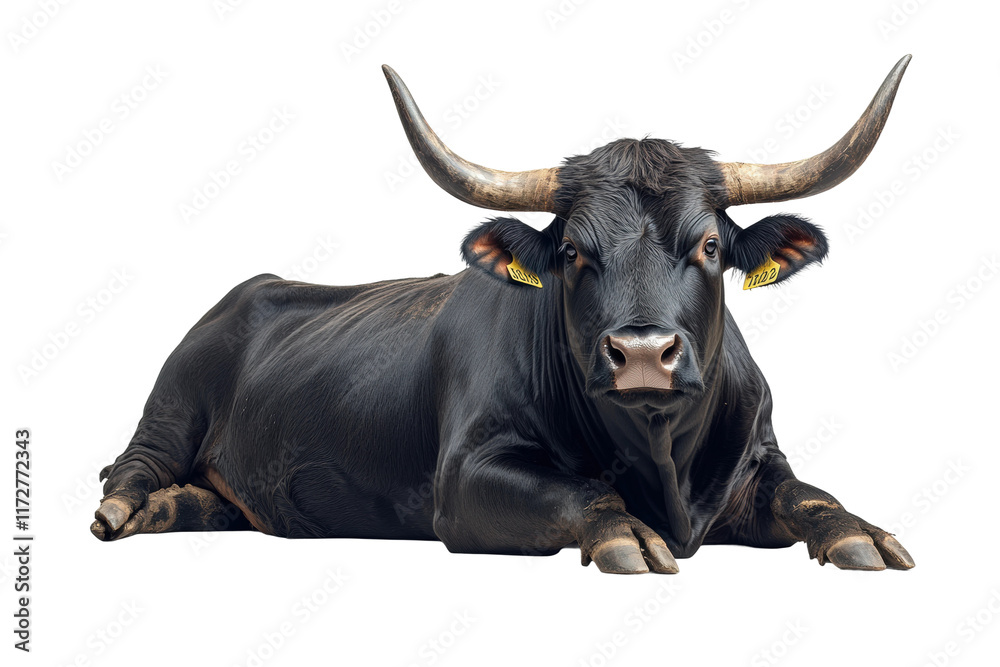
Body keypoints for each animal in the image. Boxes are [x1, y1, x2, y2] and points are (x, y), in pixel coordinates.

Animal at [92, 56, 915, 574]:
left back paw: (174, 508)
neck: (661, 459)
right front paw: (624, 535)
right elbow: (583, 492)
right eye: (574, 251)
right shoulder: (467, 478)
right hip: (168, 410)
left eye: (710, 245)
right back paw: (126, 511)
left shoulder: (761, 461)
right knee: (125, 469)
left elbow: (813, 495)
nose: (642, 352)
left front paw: (864, 535)